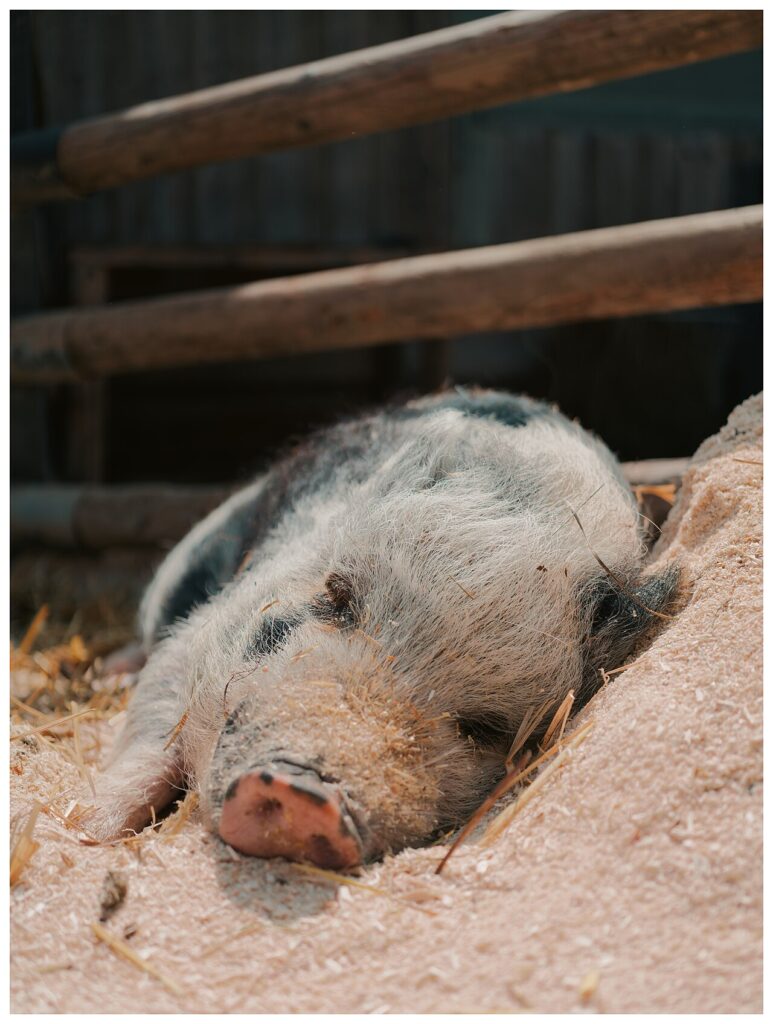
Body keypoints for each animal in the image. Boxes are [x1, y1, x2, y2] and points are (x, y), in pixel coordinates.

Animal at [85, 389, 678, 868]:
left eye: (486, 727)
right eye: (336, 598)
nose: (306, 793)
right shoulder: (206, 626)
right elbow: (155, 721)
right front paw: (89, 831)